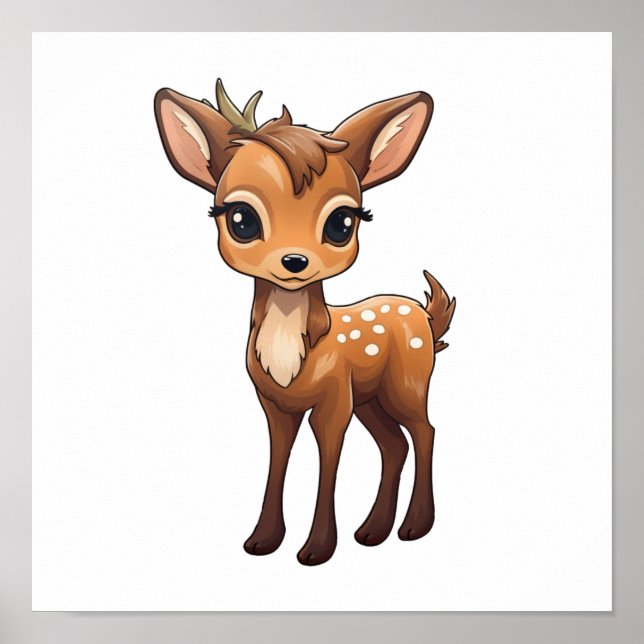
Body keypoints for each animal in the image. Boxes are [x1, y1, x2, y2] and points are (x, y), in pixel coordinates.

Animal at [154, 79, 455, 566]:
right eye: (240, 218)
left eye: (342, 222)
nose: (294, 261)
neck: (291, 355)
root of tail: (424, 316)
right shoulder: (275, 404)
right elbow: (278, 460)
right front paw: (262, 540)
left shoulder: (334, 402)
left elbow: (327, 463)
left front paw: (316, 549)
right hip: (371, 400)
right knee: (394, 445)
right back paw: (373, 531)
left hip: (406, 384)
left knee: (425, 431)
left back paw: (414, 526)